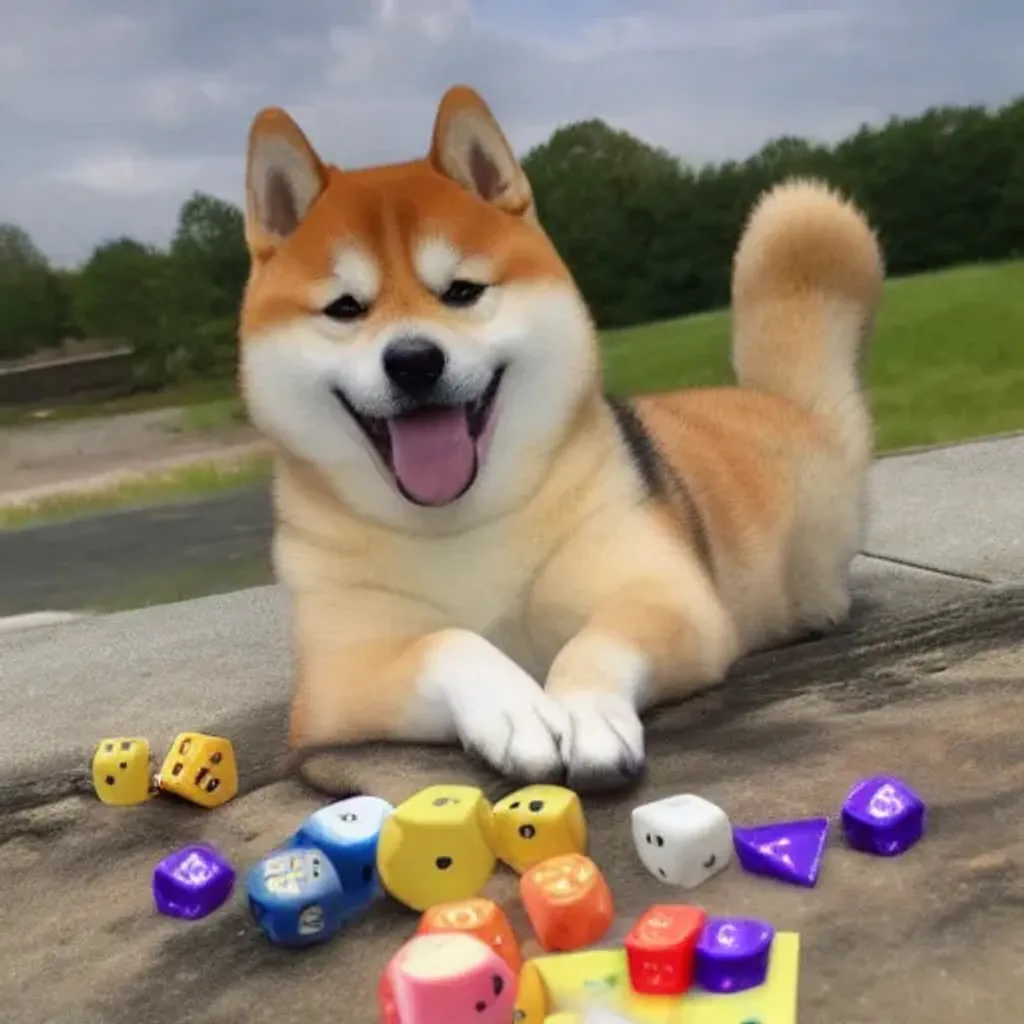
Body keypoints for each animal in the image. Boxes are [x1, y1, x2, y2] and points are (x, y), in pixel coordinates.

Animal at [235, 88, 884, 790]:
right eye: (346, 308)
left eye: (462, 291)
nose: (413, 361)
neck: (459, 524)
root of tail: (778, 400)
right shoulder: (331, 683)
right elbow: (449, 642)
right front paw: (512, 708)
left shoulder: (668, 596)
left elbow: (599, 641)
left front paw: (582, 710)